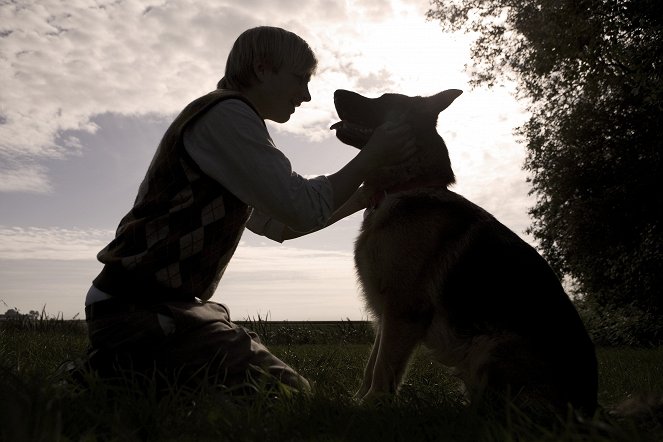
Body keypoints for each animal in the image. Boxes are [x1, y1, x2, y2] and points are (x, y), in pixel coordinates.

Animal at [330, 89, 600, 414]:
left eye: (382, 99)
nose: (335, 92)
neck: (407, 185)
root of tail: (590, 409)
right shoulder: (387, 314)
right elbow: (372, 365)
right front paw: (358, 401)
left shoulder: (403, 310)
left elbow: (384, 367)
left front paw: (371, 405)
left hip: (488, 344)